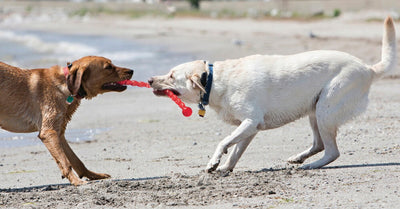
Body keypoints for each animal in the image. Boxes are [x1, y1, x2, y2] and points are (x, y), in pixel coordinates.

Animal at [0, 56, 134, 185]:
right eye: (108, 67)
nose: (131, 71)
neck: (66, 85)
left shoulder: (59, 133)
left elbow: (76, 161)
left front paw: (92, 175)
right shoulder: (49, 132)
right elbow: (65, 162)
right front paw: (76, 181)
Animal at [148, 17, 396, 172]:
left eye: (171, 75)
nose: (149, 79)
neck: (215, 80)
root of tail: (368, 68)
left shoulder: (250, 122)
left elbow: (224, 142)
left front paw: (214, 162)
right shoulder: (250, 128)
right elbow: (235, 151)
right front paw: (225, 168)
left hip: (325, 108)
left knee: (332, 151)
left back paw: (311, 165)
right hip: (314, 112)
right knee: (320, 145)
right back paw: (299, 158)